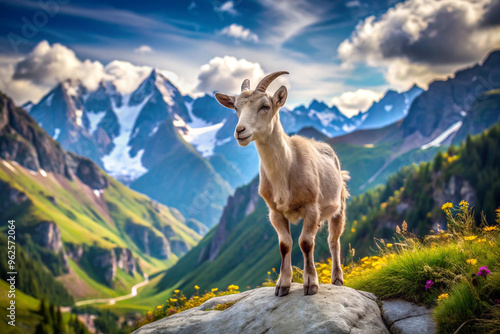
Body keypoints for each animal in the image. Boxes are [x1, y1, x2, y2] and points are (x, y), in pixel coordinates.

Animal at [217, 72, 350, 296]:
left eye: (265, 106)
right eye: (236, 107)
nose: (240, 131)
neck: (286, 169)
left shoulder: (311, 207)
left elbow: (306, 243)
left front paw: (311, 284)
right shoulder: (275, 212)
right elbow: (285, 245)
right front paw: (282, 286)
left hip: (339, 206)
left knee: (334, 240)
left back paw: (337, 279)